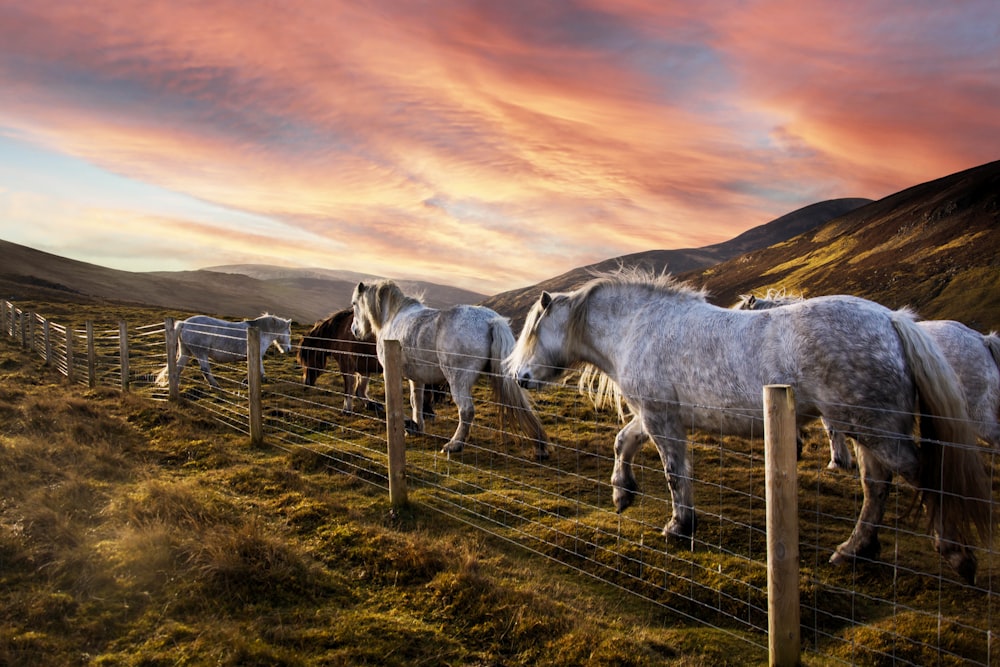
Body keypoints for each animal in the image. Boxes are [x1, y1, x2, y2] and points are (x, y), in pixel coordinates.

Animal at [154, 314, 292, 388]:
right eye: (289, 332)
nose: (288, 349)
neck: (261, 332)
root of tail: (184, 323)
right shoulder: (256, 357)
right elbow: (261, 371)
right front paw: (246, 382)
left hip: (186, 352)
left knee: (177, 367)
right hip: (201, 352)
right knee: (205, 370)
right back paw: (215, 385)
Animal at [352, 280, 552, 460]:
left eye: (354, 304)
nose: (355, 330)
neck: (392, 317)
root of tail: (490, 320)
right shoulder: (417, 378)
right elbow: (416, 401)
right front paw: (417, 427)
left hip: (458, 381)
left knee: (466, 411)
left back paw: (454, 445)